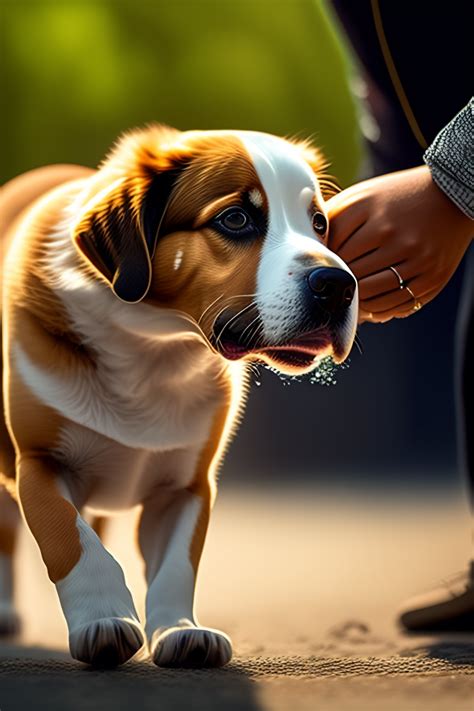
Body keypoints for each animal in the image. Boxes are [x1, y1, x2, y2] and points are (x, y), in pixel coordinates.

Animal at [0, 126, 356, 668]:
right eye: (236, 219)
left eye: (319, 223)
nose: (338, 285)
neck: (155, 349)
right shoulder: (38, 463)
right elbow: (72, 541)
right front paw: (103, 620)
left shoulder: (188, 486)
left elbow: (175, 565)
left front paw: (180, 631)